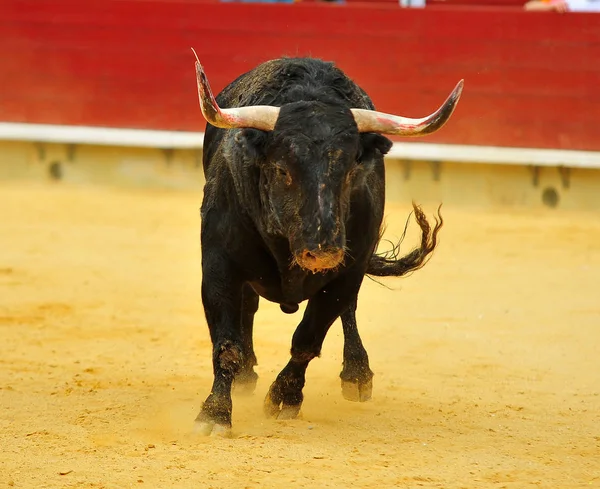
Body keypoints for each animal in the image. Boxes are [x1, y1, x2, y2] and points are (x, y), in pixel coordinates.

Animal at [192, 53, 464, 434]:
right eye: (282, 169)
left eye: (350, 170)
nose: (322, 252)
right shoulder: (218, 264)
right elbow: (226, 344)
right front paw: (215, 413)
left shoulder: (348, 269)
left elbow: (308, 338)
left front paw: (285, 398)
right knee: (249, 305)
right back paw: (246, 374)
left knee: (347, 311)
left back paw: (357, 373)